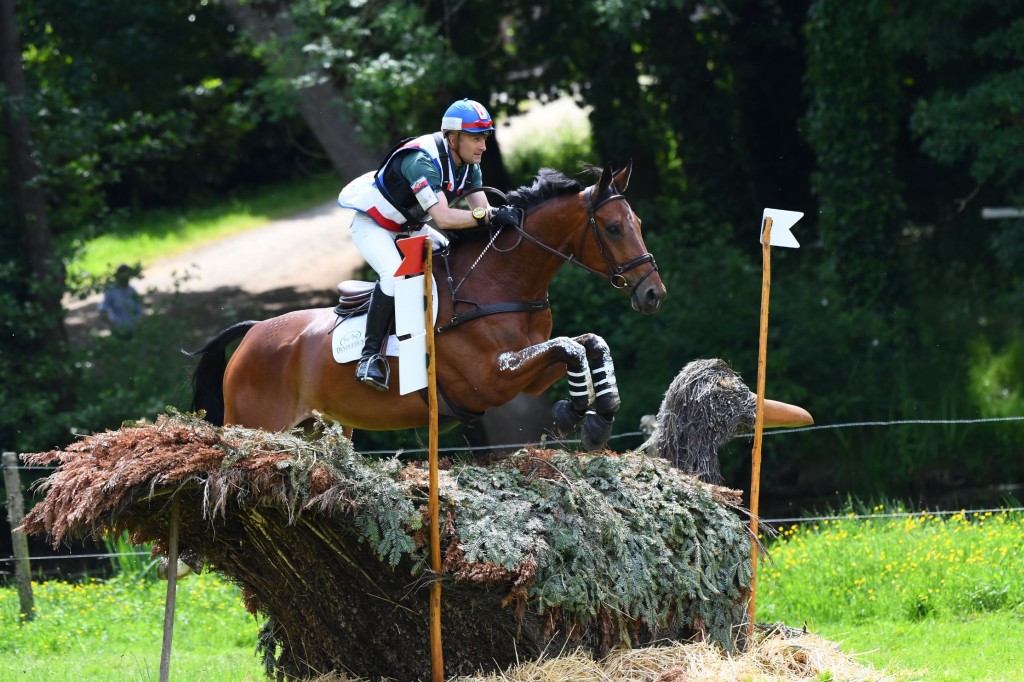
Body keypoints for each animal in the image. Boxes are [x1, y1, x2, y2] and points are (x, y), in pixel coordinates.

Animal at [190, 161, 671, 448]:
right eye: (612, 228)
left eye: (638, 222)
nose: (653, 294)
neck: (500, 281)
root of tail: (253, 332)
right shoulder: (490, 378)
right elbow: (570, 346)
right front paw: (577, 414)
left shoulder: (528, 377)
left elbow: (588, 342)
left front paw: (598, 416)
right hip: (254, 424)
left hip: (318, 427)